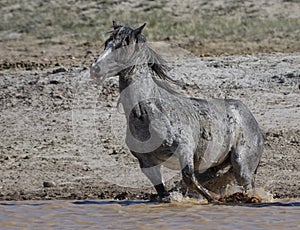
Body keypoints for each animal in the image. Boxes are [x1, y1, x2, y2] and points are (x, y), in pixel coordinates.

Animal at [90, 21, 264, 201]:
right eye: (106, 43)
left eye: (124, 45)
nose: (95, 69)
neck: (148, 114)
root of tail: (249, 116)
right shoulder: (147, 163)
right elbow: (164, 191)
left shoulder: (184, 150)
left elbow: (189, 178)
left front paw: (214, 199)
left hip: (242, 166)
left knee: (246, 185)